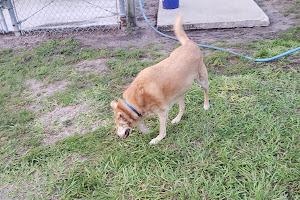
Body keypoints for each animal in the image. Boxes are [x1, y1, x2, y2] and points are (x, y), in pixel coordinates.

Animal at [109, 15, 209, 144]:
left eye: (120, 124)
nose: (117, 135)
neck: (137, 98)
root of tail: (189, 43)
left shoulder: (162, 113)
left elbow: (162, 130)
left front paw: (157, 139)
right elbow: (140, 124)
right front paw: (146, 130)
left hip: (202, 80)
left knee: (206, 91)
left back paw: (206, 105)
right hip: (178, 92)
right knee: (183, 107)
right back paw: (177, 119)